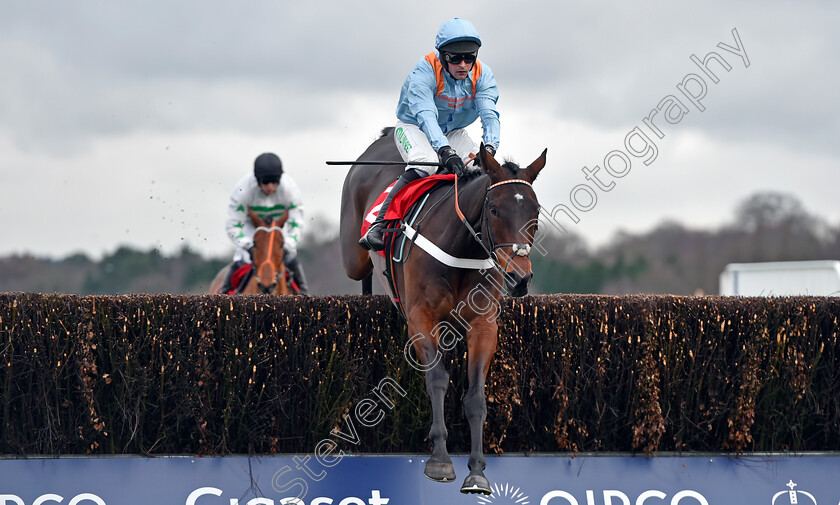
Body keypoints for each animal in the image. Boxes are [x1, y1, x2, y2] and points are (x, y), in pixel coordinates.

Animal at [338, 128, 548, 494]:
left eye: (535, 211)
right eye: (494, 209)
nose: (519, 278)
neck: (461, 248)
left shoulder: (483, 324)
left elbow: (476, 396)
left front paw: (477, 471)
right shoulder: (422, 319)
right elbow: (437, 379)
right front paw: (439, 459)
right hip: (353, 255)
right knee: (361, 265)